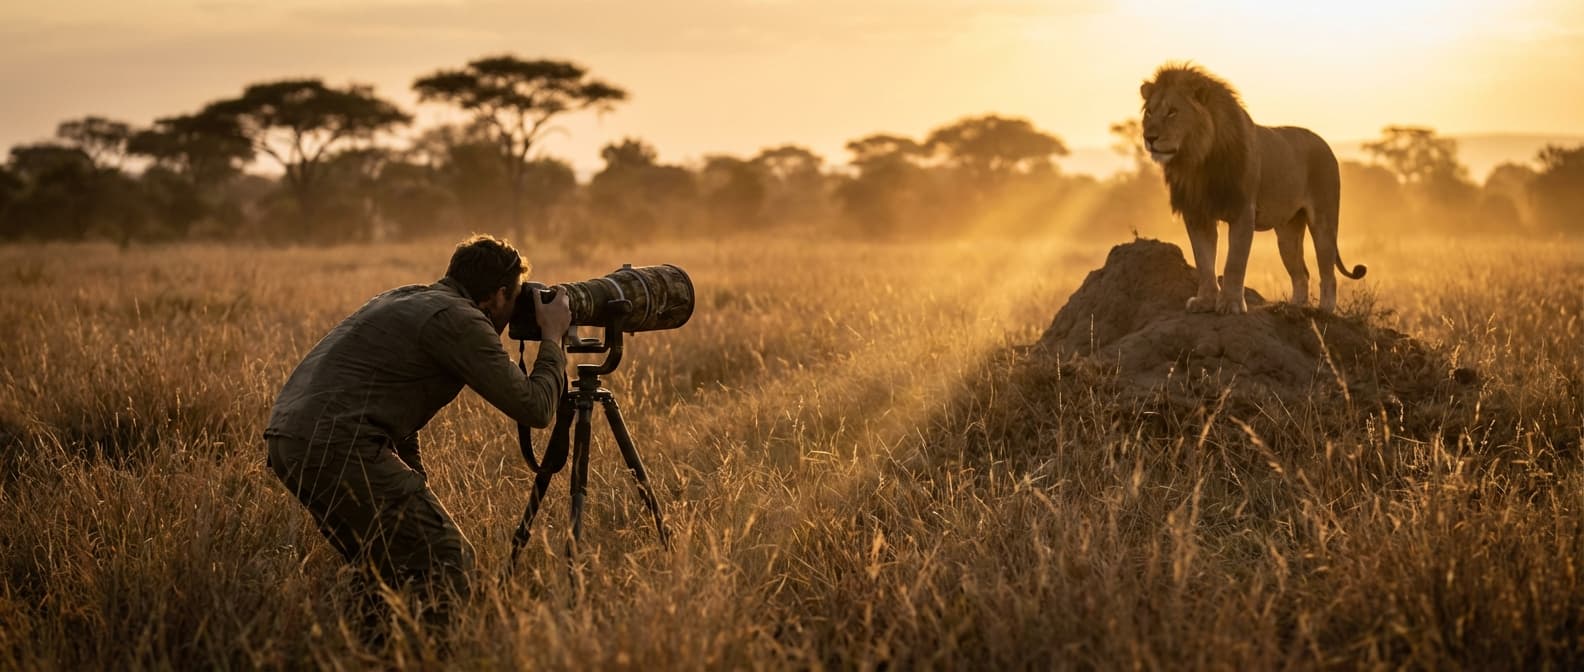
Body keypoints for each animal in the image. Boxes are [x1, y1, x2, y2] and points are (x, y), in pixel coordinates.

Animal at [1140, 63, 1366, 314]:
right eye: (1149, 112)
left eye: (1172, 111)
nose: (1149, 137)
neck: (1198, 160)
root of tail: (1325, 144)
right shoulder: (1198, 214)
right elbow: (1204, 261)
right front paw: (1205, 301)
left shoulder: (1242, 211)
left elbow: (1234, 262)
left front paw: (1231, 304)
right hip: (1287, 232)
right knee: (1301, 273)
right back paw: (1294, 307)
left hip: (1324, 221)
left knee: (1328, 272)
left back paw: (1324, 310)